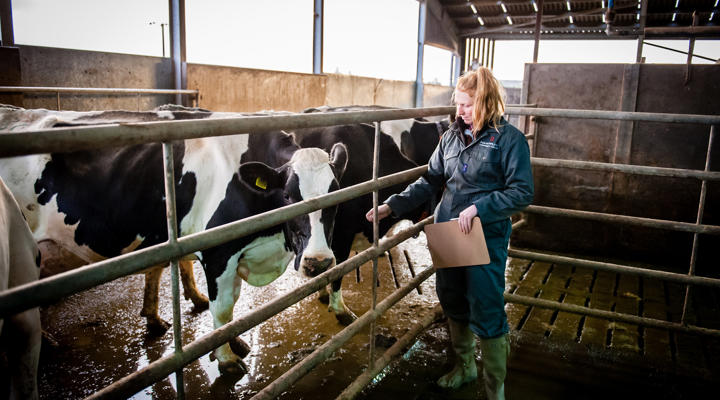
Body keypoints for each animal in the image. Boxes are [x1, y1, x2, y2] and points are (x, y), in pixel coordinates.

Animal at [0, 104, 348, 374]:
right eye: (288, 196)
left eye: (336, 194)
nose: (319, 262)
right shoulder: (218, 251)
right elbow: (223, 308)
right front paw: (226, 358)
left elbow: (231, 304)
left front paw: (232, 341)